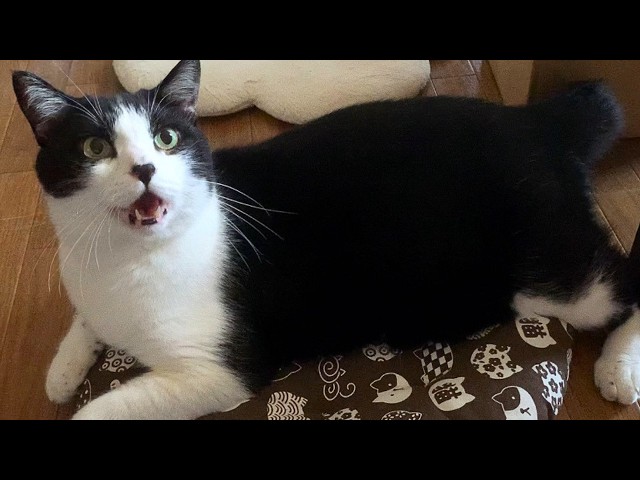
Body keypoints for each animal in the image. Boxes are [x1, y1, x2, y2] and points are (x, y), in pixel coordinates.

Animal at [11, 60, 640, 419]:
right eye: (94, 148)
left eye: (166, 138)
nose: (144, 168)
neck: (123, 261)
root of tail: (538, 119)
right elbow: (85, 319)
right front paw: (63, 370)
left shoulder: (220, 372)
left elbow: (99, 413)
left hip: (553, 272)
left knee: (621, 284)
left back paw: (619, 369)